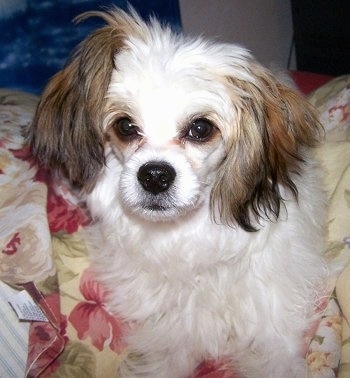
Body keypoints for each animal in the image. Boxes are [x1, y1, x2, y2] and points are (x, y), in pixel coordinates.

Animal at [28, 6, 332, 378]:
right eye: (125, 126)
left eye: (200, 128)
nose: (154, 176)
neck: (184, 234)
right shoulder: (170, 338)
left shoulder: (273, 329)